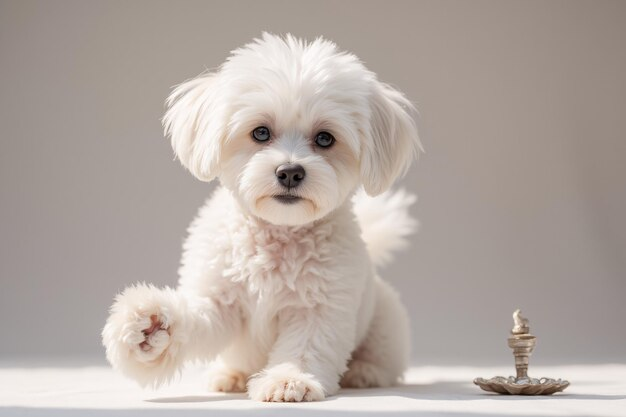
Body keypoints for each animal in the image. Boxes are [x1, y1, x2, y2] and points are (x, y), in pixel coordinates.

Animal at [101, 34, 420, 402]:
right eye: (261, 133)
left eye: (325, 138)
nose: (290, 172)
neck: (278, 233)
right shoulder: (220, 301)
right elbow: (198, 319)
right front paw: (152, 325)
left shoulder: (320, 308)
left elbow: (305, 347)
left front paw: (289, 379)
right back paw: (231, 374)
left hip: (385, 321)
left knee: (384, 355)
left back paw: (366, 371)